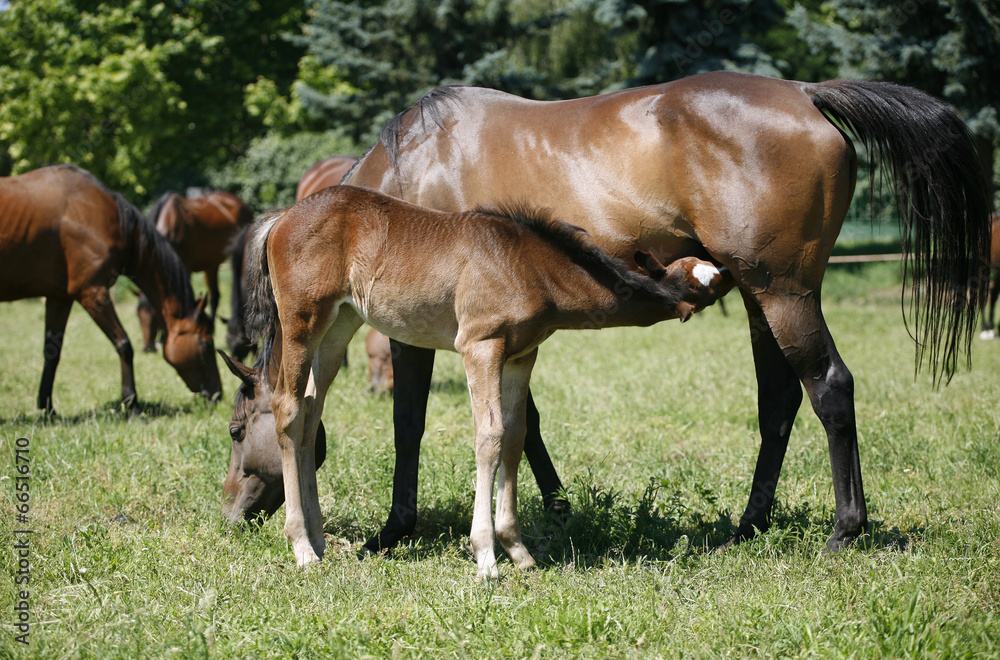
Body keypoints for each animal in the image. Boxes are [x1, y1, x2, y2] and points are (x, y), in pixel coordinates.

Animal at [0, 164, 223, 412]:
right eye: (206, 343)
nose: (218, 394)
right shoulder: (93, 293)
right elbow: (124, 344)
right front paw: (132, 403)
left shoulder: (59, 297)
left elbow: (52, 351)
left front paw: (47, 408)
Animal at [238, 184, 724, 572]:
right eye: (708, 285)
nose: (733, 273)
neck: (531, 264)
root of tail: (283, 216)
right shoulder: (480, 345)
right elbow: (489, 436)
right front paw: (487, 557)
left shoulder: (520, 355)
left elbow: (514, 436)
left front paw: (519, 552)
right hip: (302, 322)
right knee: (287, 409)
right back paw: (302, 547)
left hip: (339, 326)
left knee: (309, 411)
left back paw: (319, 540)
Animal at [336, 72, 992, 556]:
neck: (406, 177)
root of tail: (805, 92)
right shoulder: (508, 328)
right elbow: (525, 425)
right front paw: (558, 509)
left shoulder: (427, 334)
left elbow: (409, 422)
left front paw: (393, 530)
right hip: (761, 298)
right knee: (779, 400)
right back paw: (748, 526)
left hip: (784, 293)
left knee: (829, 386)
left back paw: (844, 530)